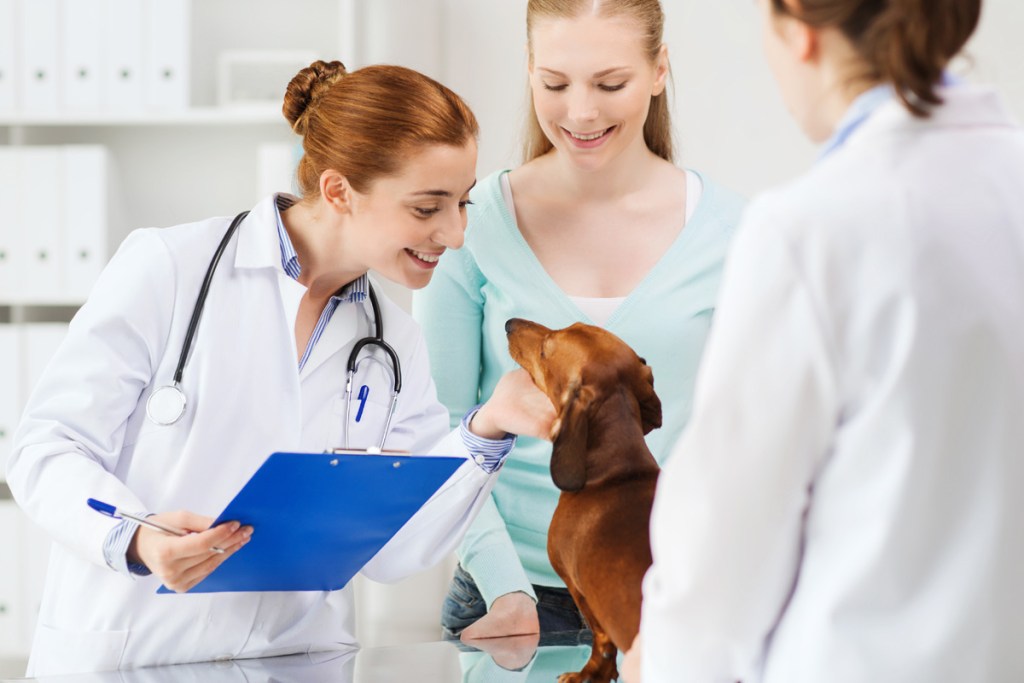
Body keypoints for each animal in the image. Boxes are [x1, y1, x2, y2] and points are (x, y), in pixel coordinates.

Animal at [505, 319, 663, 683]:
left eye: (546, 349)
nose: (508, 324)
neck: (618, 471)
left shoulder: (577, 588)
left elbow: (601, 641)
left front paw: (589, 674)